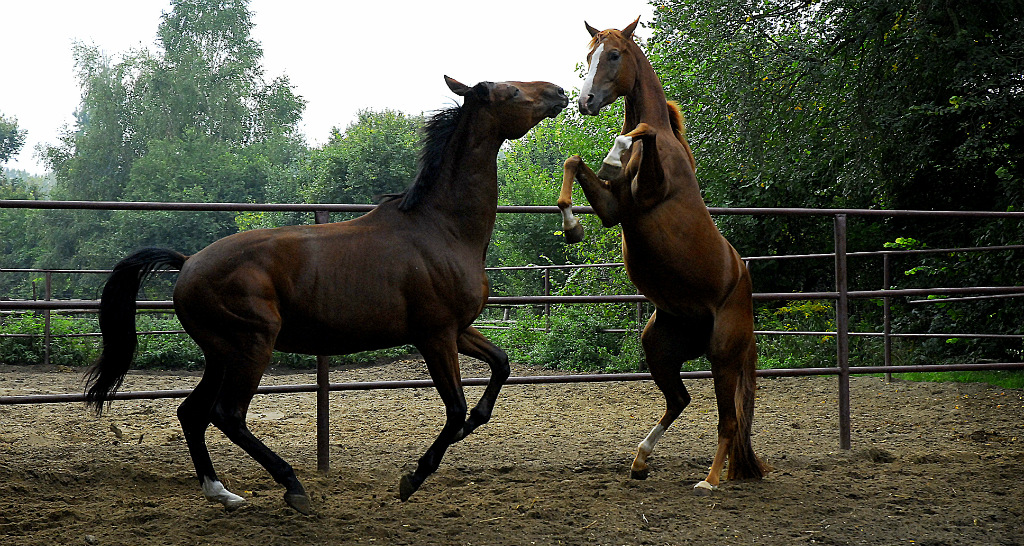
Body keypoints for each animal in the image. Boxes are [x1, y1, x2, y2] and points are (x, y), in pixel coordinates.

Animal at [84, 75, 569, 510]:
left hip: (221, 353)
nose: (560, 92)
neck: (442, 228)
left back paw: (222, 493)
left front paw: (469, 428)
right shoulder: (435, 336)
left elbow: (499, 368)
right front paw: (412, 478)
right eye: (511, 91)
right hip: (252, 345)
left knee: (191, 413)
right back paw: (292, 487)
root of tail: (187, 264)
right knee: (227, 415)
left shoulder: (458, 330)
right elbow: (454, 410)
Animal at [561, 19, 770, 491]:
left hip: (722, 354)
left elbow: (644, 131)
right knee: (680, 399)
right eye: (588, 55)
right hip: (658, 346)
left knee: (728, 420)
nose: (585, 102)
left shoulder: (648, 192)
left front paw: (614, 155)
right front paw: (571, 225)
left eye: (614, 54)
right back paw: (640, 461)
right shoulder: (614, 209)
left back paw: (709, 481)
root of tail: (745, 287)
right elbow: (573, 160)